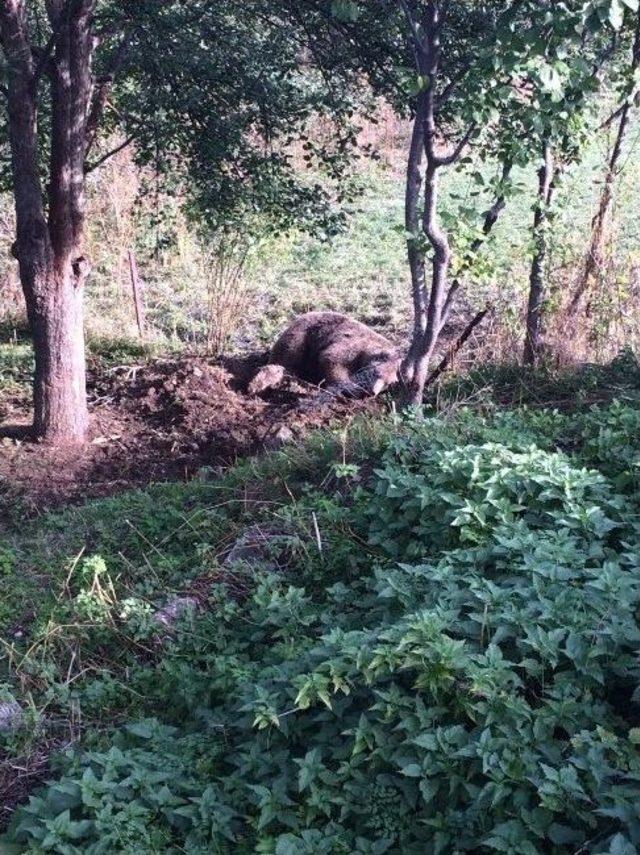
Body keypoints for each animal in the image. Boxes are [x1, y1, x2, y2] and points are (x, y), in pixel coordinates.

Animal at [248, 310, 398, 398]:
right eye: (376, 373)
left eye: (388, 383)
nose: (373, 392)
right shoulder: (352, 345)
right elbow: (331, 358)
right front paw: (351, 387)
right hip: (302, 336)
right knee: (287, 356)